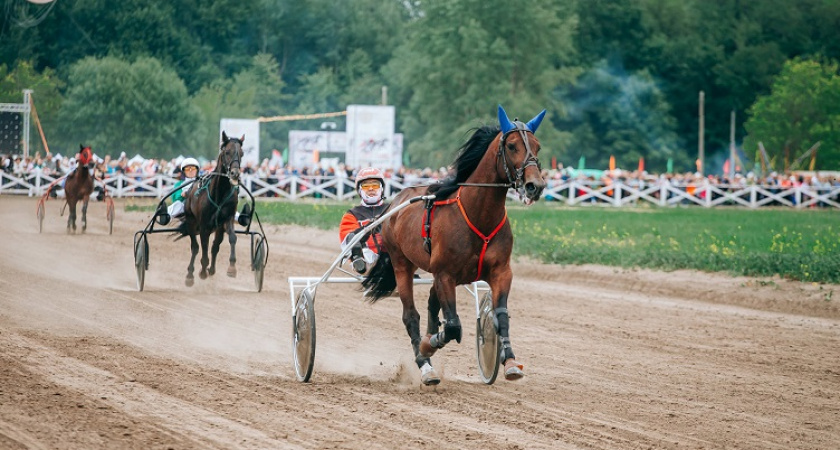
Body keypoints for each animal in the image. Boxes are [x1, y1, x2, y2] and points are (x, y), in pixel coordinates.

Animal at [176, 132, 243, 286]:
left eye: (242, 153)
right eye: (227, 152)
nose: (235, 174)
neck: (219, 193)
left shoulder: (227, 219)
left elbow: (232, 238)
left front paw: (232, 268)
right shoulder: (203, 224)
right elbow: (203, 247)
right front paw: (202, 271)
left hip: (218, 227)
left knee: (215, 246)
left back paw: (211, 269)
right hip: (191, 221)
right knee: (195, 247)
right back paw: (191, 274)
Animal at [362, 104, 548, 384]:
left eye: (537, 146)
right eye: (512, 145)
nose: (535, 185)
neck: (478, 215)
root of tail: (397, 200)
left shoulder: (501, 272)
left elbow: (501, 317)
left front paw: (510, 362)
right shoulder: (446, 274)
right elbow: (452, 326)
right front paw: (428, 346)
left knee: (431, 301)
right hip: (402, 263)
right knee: (411, 315)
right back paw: (425, 364)